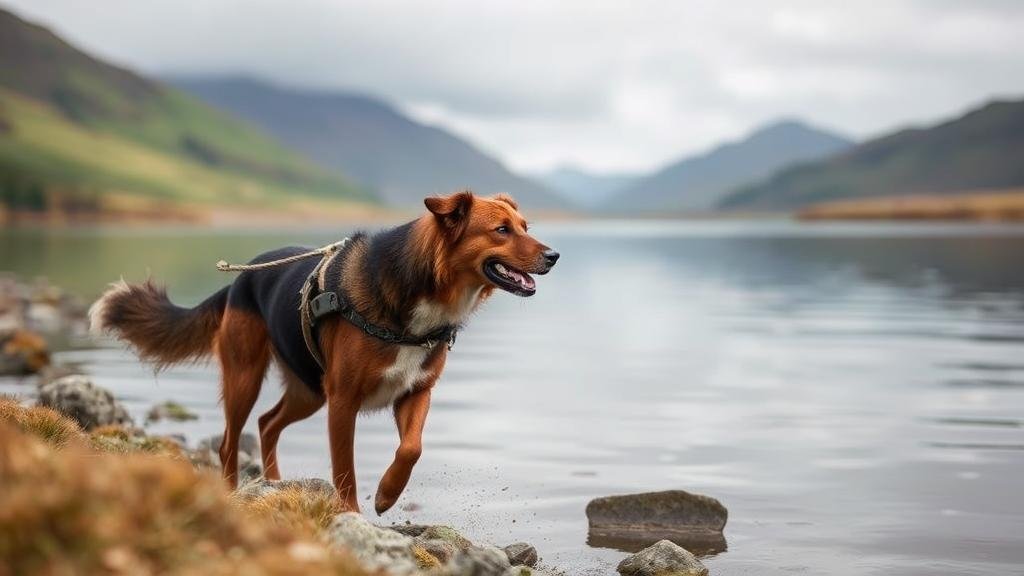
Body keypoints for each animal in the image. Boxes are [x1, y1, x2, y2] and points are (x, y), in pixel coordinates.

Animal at [90, 191, 561, 510]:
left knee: (267, 424)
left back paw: (274, 483)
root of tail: (240, 278)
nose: (555, 255)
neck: (423, 290)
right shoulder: (343, 401)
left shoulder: (415, 392)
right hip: (247, 376)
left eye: (526, 226)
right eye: (501, 230)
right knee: (229, 442)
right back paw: (232, 492)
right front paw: (352, 514)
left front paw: (387, 495)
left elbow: (411, 448)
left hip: (308, 390)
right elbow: (344, 470)